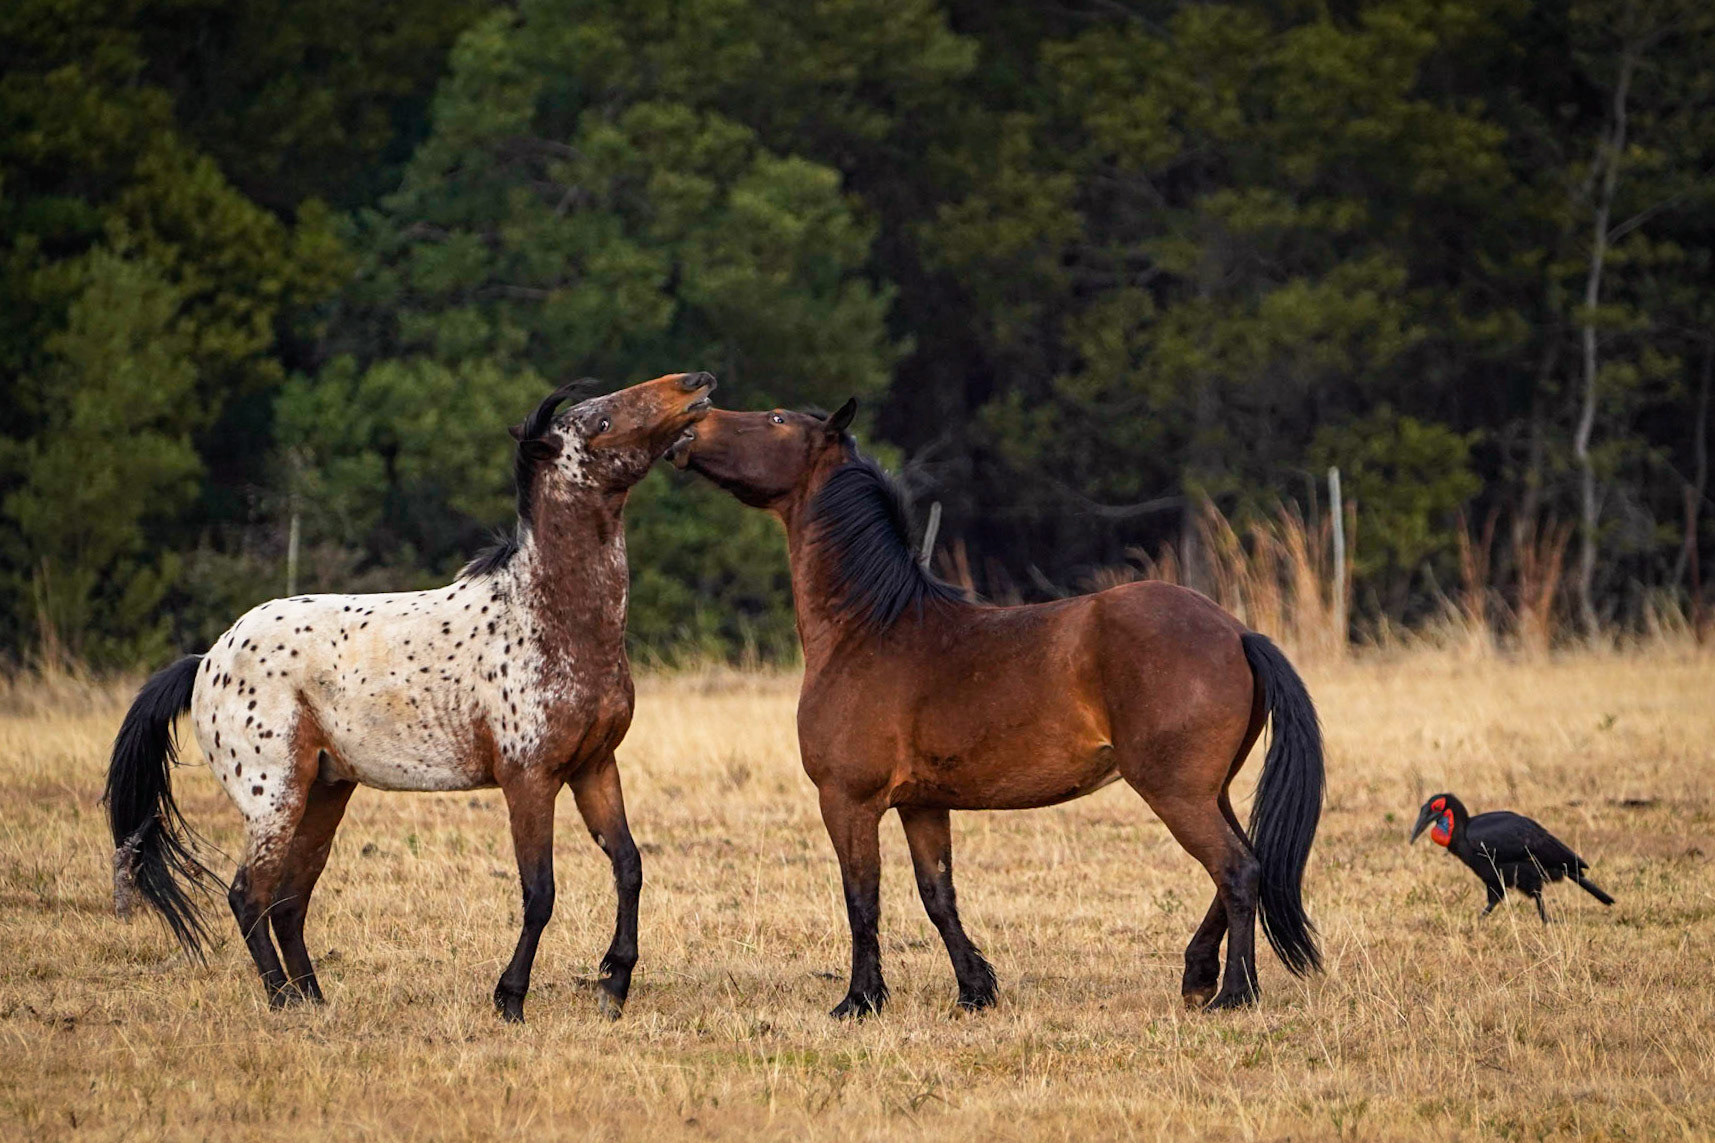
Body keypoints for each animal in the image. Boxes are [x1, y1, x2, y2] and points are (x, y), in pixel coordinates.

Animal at [105, 370, 716, 1022]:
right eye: (600, 422)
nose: (694, 384)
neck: (548, 618)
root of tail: (206, 660)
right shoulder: (529, 780)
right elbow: (540, 892)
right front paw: (510, 998)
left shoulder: (594, 767)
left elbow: (629, 867)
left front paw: (614, 983)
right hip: (274, 797)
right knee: (249, 895)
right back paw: (283, 1001)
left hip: (324, 791)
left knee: (288, 900)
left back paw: (314, 1000)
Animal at [671, 399, 1324, 1016]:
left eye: (776, 419)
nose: (692, 424)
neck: (871, 628)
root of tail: (1237, 632)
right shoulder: (923, 805)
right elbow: (938, 896)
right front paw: (975, 990)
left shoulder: (847, 801)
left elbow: (862, 899)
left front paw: (860, 1000)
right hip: (1209, 790)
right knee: (1249, 863)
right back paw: (1197, 976)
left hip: (1175, 791)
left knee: (1236, 870)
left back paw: (1234, 993)